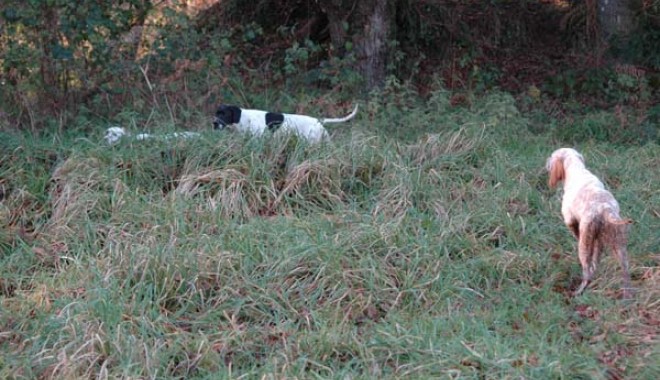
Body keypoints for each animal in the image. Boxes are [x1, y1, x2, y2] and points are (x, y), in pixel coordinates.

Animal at [548, 147, 636, 298]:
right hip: (619, 245)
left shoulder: (570, 220)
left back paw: (578, 292)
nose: (547, 163)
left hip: (584, 247)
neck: (576, 169)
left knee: (587, 273)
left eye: (552, 157)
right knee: (624, 272)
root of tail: (605, 208)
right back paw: (627, 296)